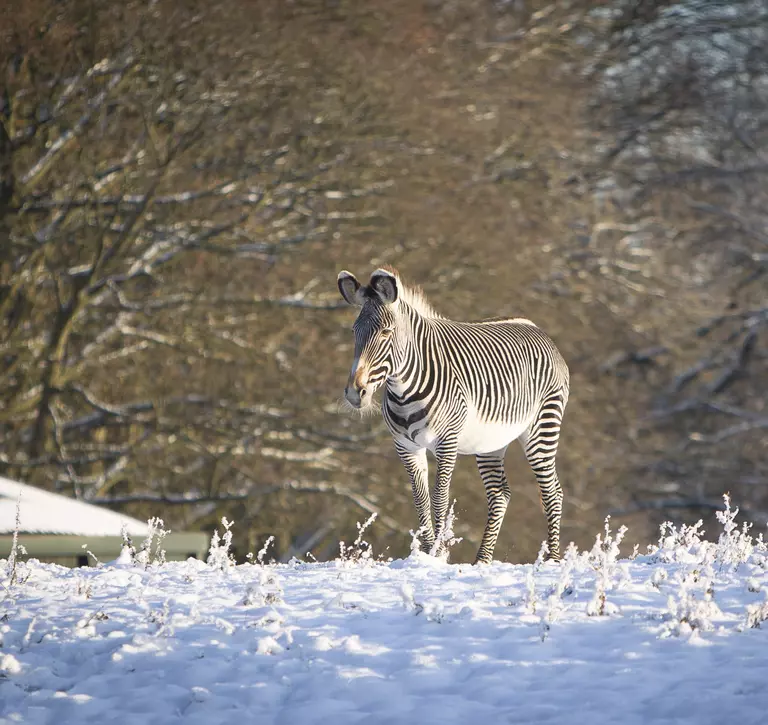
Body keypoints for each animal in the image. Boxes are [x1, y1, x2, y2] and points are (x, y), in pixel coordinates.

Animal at [338, 267, 570, 564]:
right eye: (354, 331)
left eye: (386, 332)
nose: (355, 392)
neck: (404, 390)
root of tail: (535, 328)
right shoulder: (405, 446)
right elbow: (420, 499)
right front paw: (427, 554)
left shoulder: (446, 442)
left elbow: (439, 497)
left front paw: (439, 553)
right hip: (490, 442)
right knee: (500, 494)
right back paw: (481, 561)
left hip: (542, 427)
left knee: (552, 492)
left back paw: (553, 560)